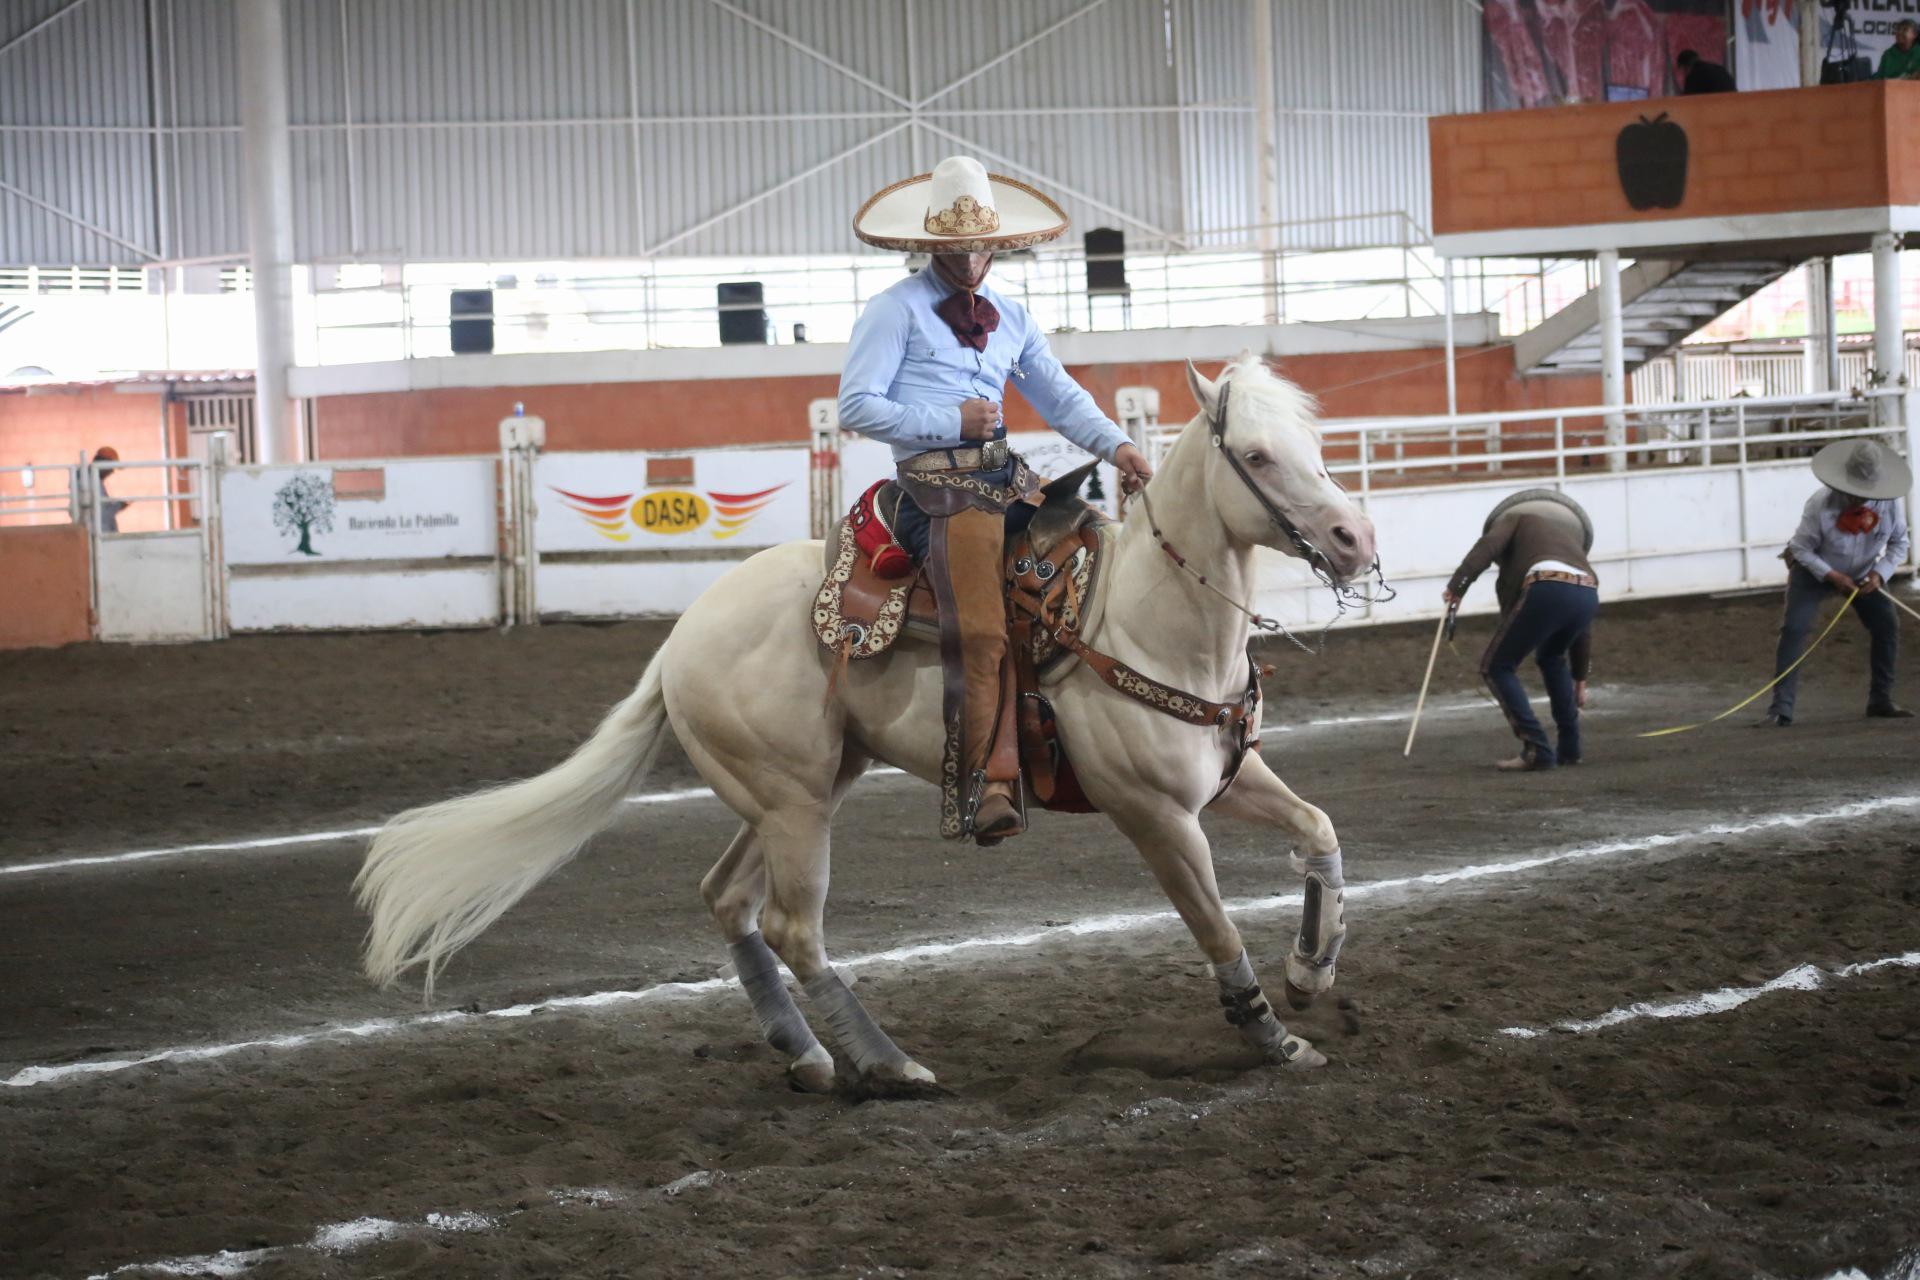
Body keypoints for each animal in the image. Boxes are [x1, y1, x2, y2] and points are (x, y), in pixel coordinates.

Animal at [357, 353, 1382, 1090]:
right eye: (1257, 457)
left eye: (1313, 441)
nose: (1355, 539)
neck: (1141, 617)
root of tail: (678, 638)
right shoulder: (1157, 817)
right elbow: (1215, 930)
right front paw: (1276, 1042)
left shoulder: (1225, 777)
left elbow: (1323, 831)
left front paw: (1312, 971)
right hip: (796, 805)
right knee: (793, 928)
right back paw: (886, 1064)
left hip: (797, 791)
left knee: (728, 900)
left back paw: (810, 1057)